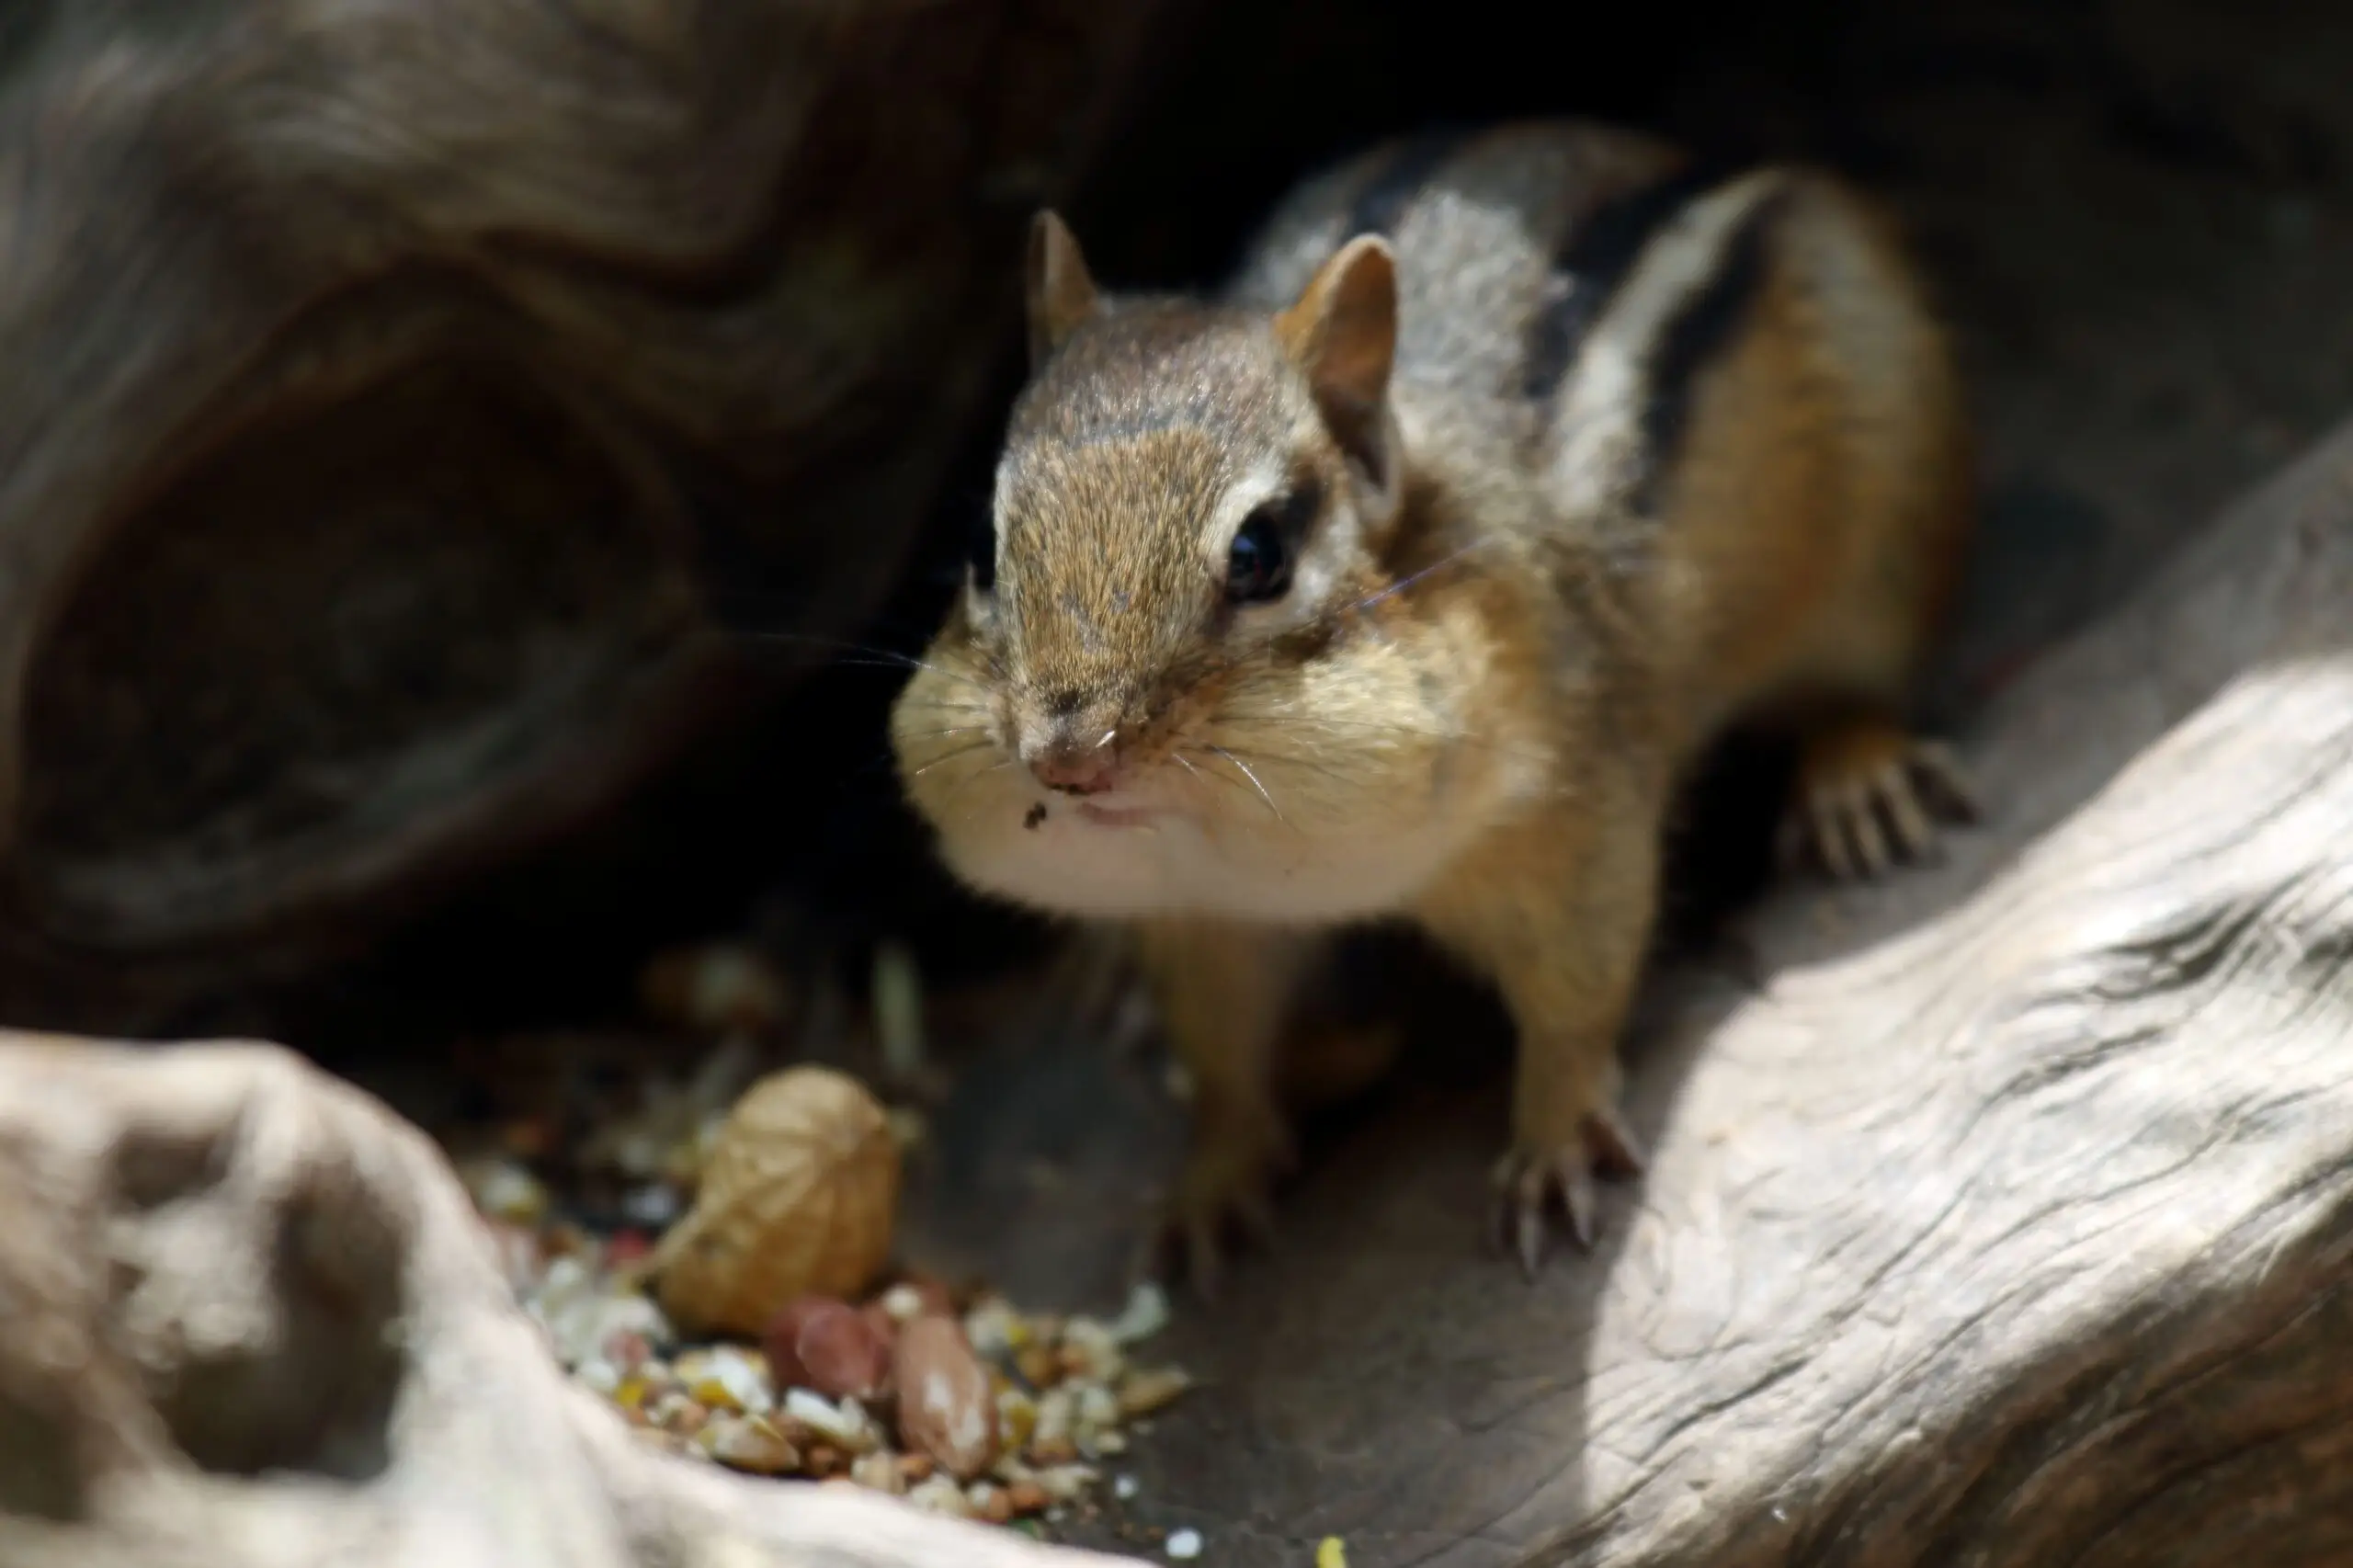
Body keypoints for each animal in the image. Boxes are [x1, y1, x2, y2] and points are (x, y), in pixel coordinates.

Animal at [889, 119, 1978, 1290]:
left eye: (1258, 552)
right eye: (982, 548)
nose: (1068, 756)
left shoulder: (1575, 805)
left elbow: (1577, 990)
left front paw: (1550, 1142)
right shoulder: (1208, 917)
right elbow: (1221, 1052)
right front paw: (1208, 1184)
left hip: (1884, 511)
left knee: (1854, 680)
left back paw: (1857, 775)